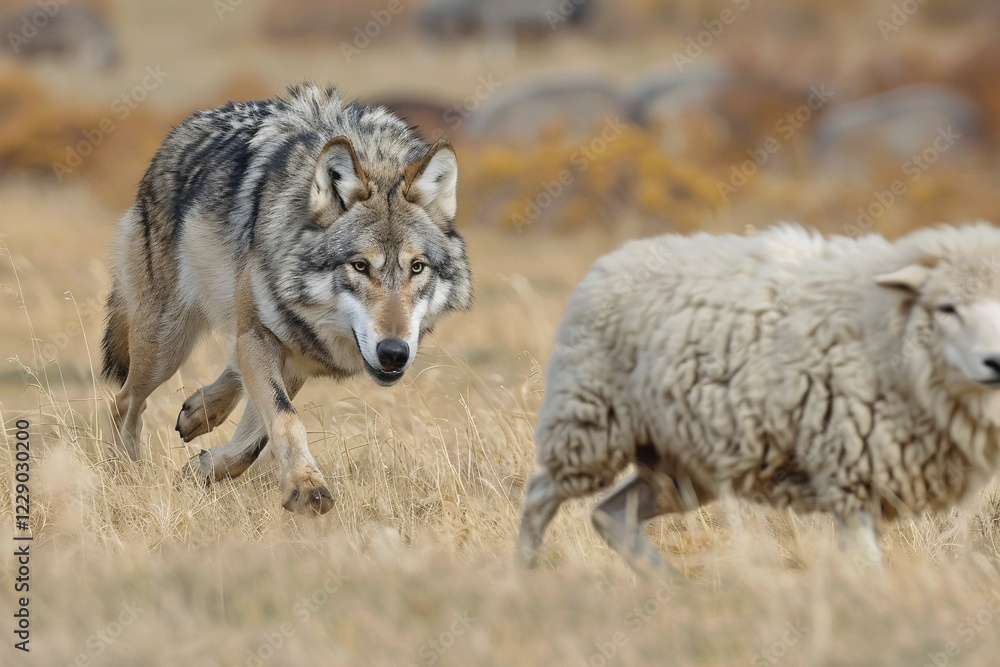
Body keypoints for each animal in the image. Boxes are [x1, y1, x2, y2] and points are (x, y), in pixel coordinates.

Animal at [101, 83, 472, 515]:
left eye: (417, 267)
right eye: (360, 266)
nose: (394, 353)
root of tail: (178, 134)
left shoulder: (295, 357)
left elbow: (256, 440)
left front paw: (202, 469)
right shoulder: (263, 337)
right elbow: (284, 419)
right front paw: (306, 487)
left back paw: (200, 412)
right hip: (165, 346)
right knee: (125, 401)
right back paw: (126, 474)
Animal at [518, 222, 1000, 575]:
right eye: (947, 308)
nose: (994, 362)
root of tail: (613, 260)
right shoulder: (851, 470)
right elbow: (865, 564)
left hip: (678, 462)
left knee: (611, 514)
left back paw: (671, 587)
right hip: (589, 424)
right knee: (540, 495)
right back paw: (522, 576)